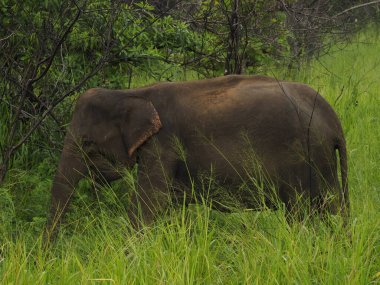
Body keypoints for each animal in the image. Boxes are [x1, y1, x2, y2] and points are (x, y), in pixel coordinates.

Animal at [48, 75, 350, 231]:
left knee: (303, 214)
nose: (46, 255)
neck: (131, 92)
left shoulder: (164, 146)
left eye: (86, 142)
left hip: (305, 160)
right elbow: (167, 205)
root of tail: (333, 120)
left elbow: (147, 205)